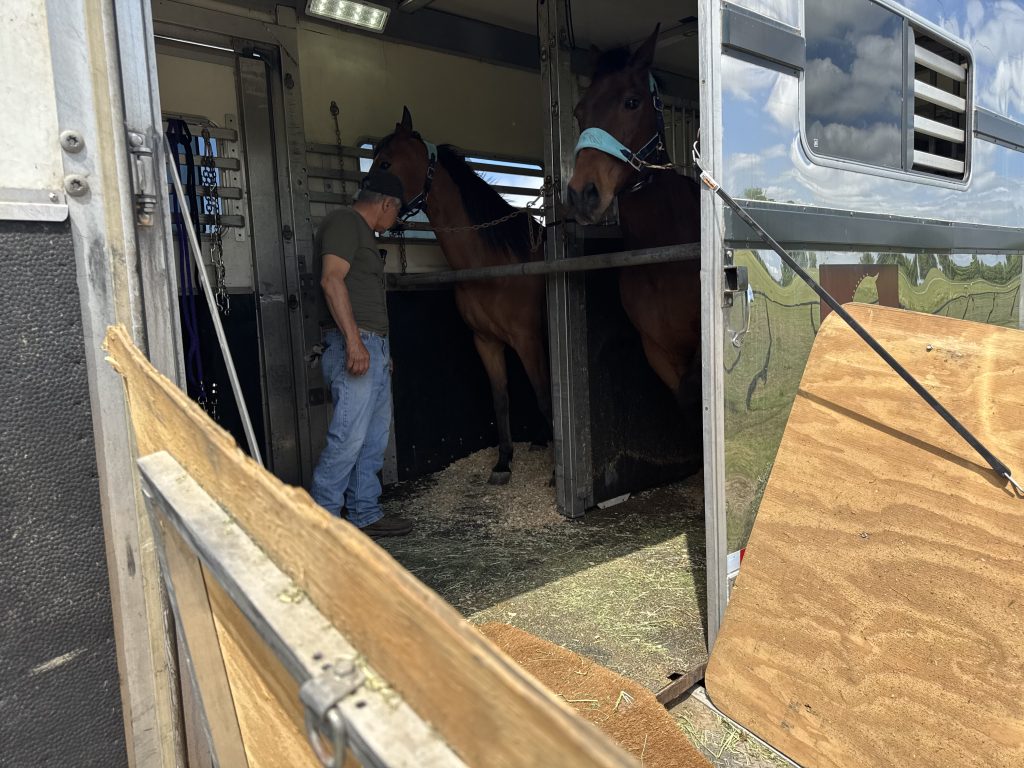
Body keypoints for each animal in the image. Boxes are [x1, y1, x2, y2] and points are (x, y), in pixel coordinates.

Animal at [370, 108, 552, 485]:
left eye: (385, 163)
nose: (362, 202)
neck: (495, 262)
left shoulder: (527, 338)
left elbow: (544, 395)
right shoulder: (485, 341)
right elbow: (501, 399)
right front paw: (503, 463)